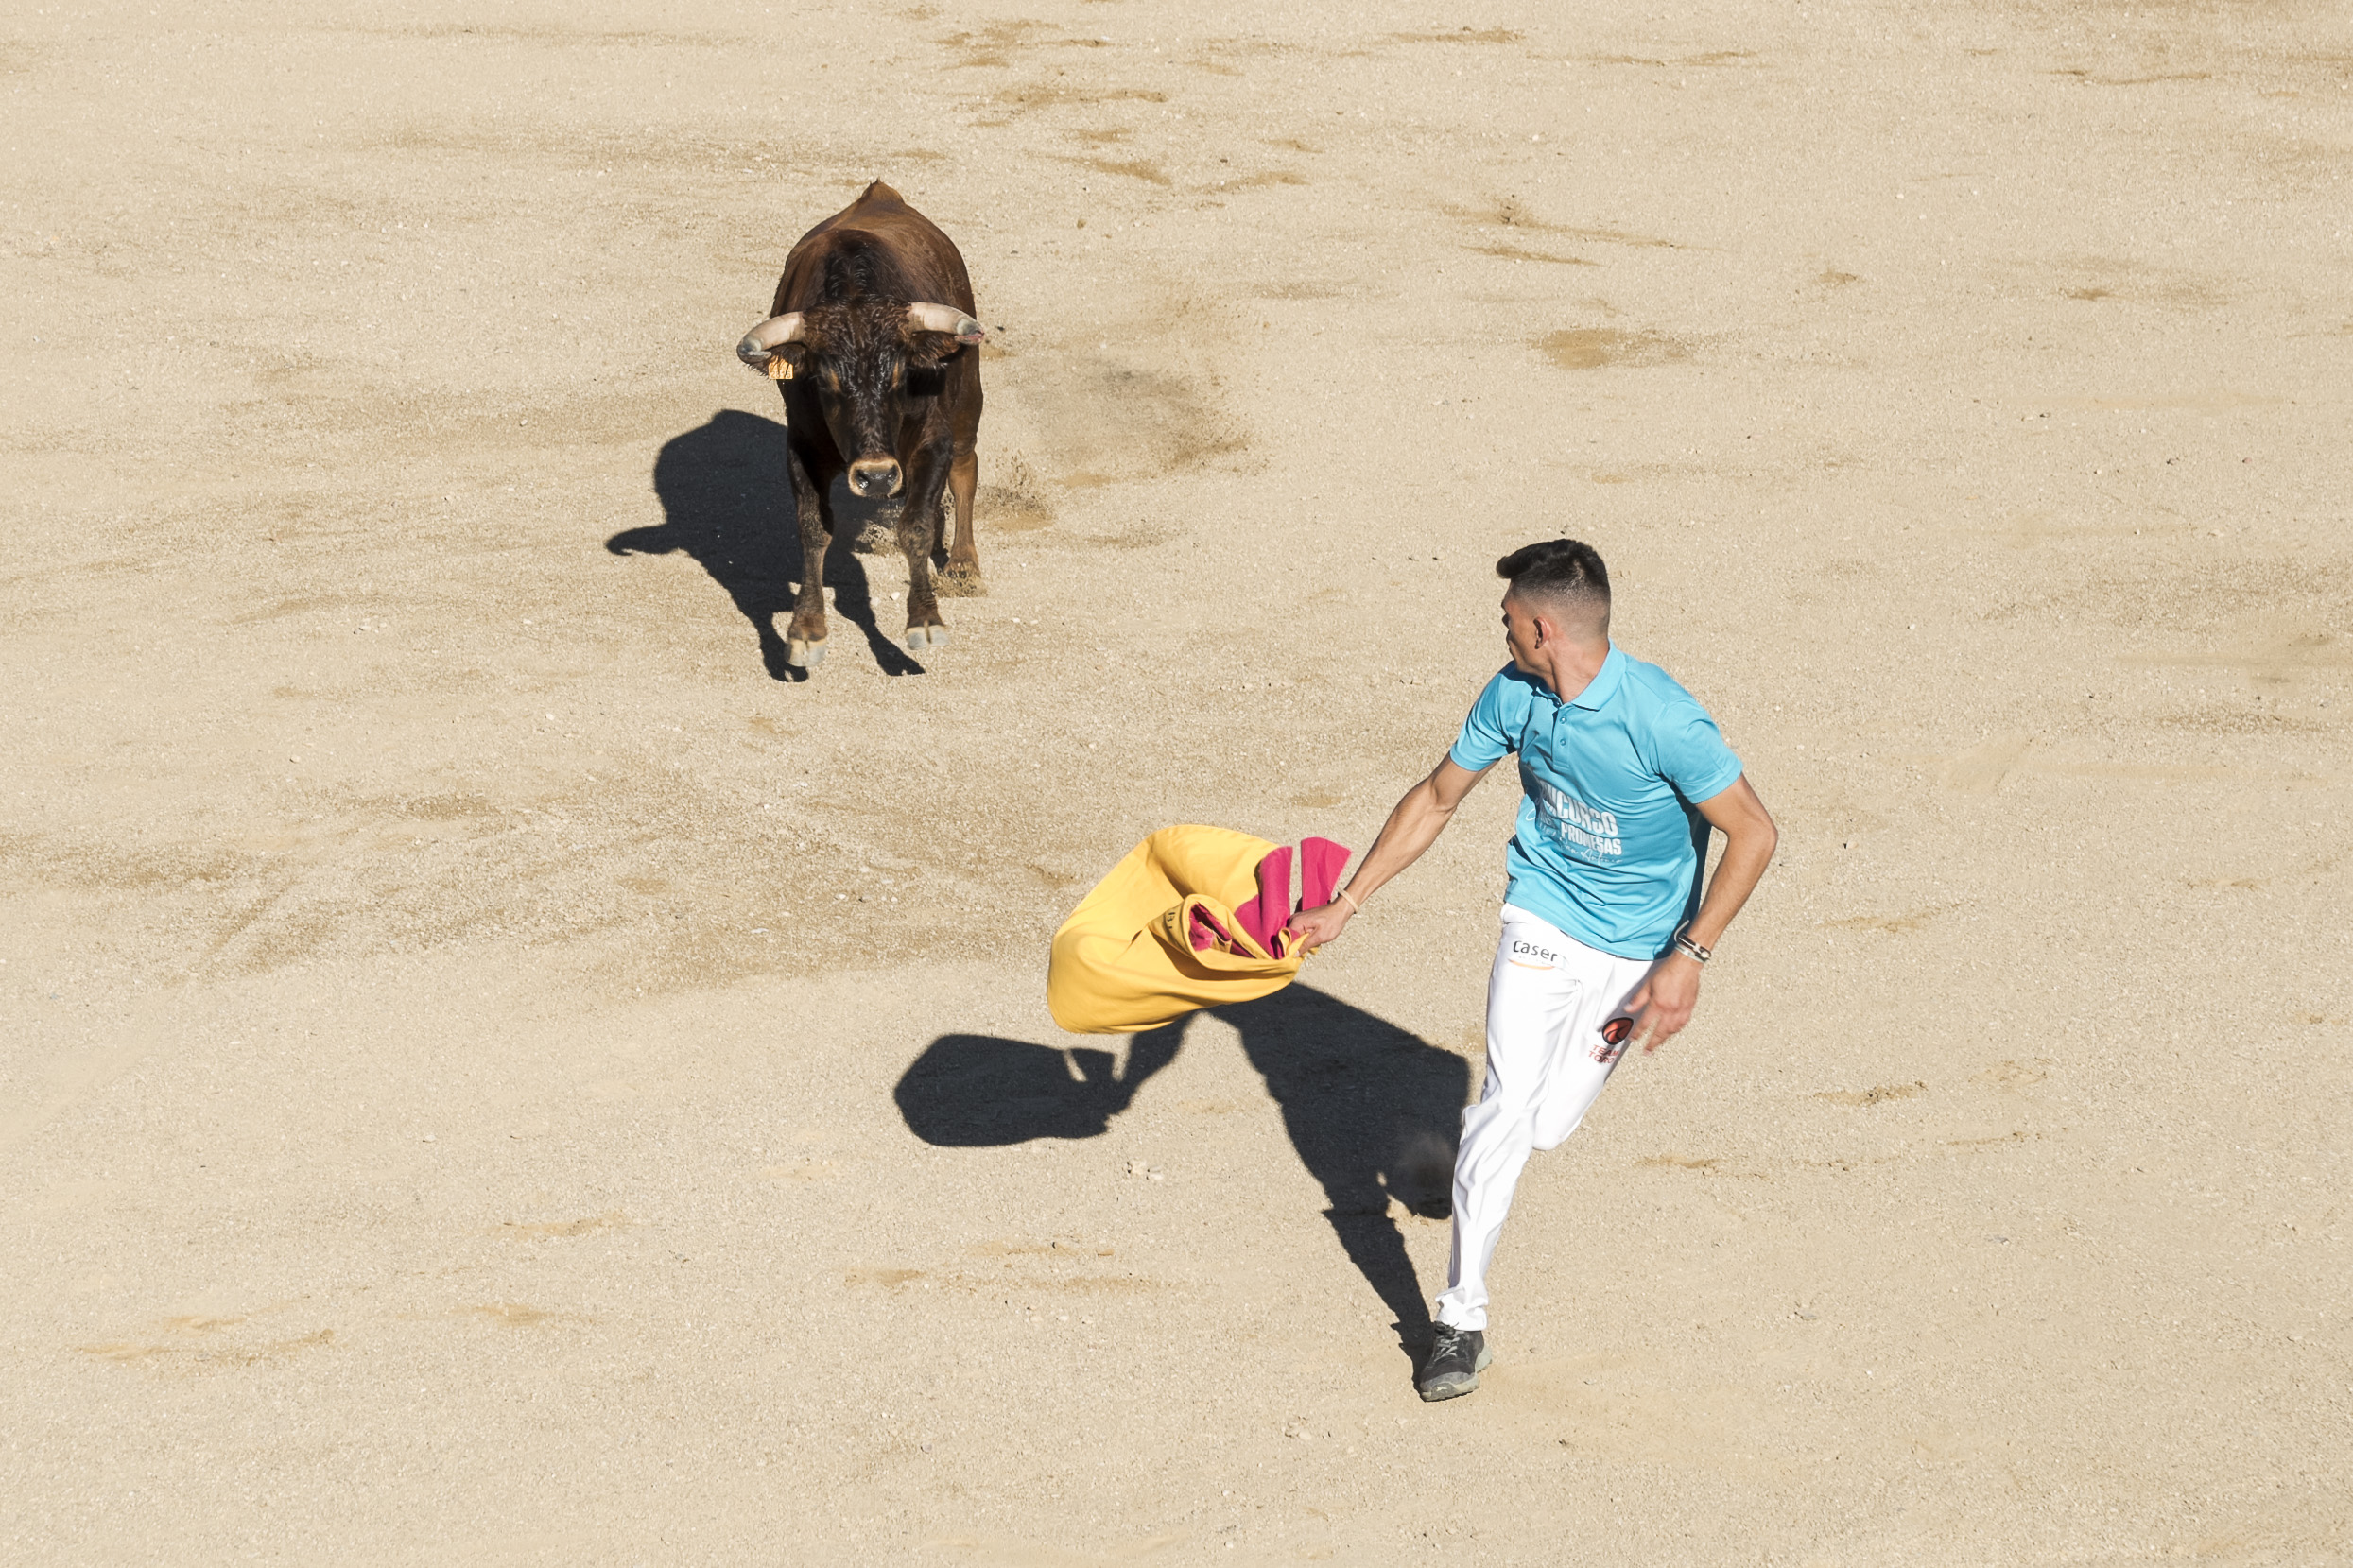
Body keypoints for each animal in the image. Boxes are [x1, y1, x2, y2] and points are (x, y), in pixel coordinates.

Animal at [738, 180, 988, 667]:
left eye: (899, 376)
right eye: (825, 380)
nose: (875, 477)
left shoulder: (934, 440)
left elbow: (915, 524)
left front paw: (925, 621)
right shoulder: (801, 449)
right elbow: (814, 528)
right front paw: (806, 630)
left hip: (969, 398)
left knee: (965, 468)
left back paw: (964, 563)